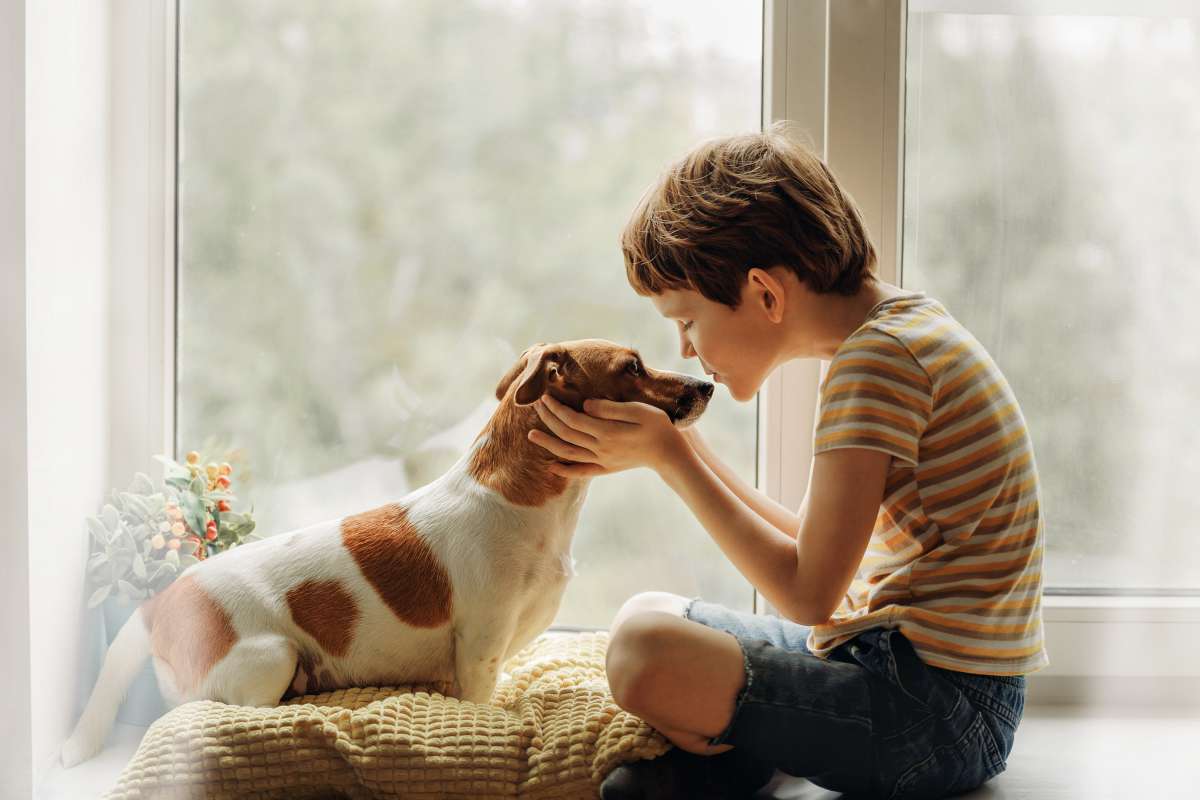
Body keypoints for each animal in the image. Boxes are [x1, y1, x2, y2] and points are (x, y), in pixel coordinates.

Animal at [63, 340, 710, 767]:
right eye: (632, 367)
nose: (707, 384)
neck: (527, 503)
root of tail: (162, 604)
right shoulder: (479, 650)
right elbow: (484, 698)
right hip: (271, 656)